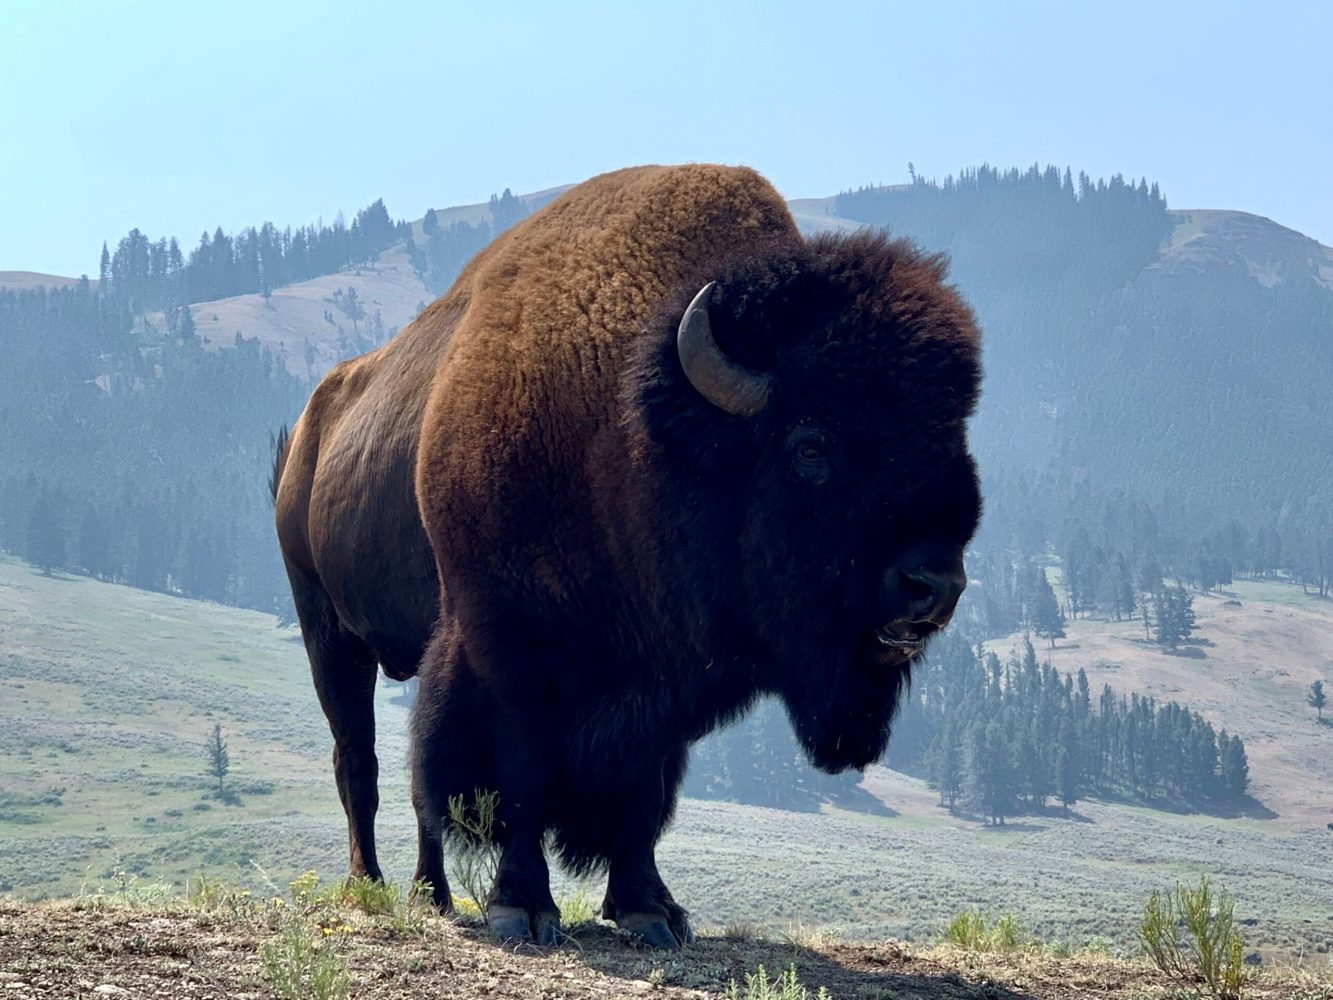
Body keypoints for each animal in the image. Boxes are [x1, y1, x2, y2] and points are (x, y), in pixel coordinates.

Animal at [273, 162, 981, 949]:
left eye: (952, 436)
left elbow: (643, 794)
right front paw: (522, 906)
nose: (933, 584)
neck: (630, 426)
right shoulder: (505, 645)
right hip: (327, 629)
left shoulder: (665, 674)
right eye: (811, 445)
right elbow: (522, 771)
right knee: (359, 762)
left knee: (411, 779)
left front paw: (650, 910)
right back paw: (368, 886)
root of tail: (307, 428)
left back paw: (433, 896)